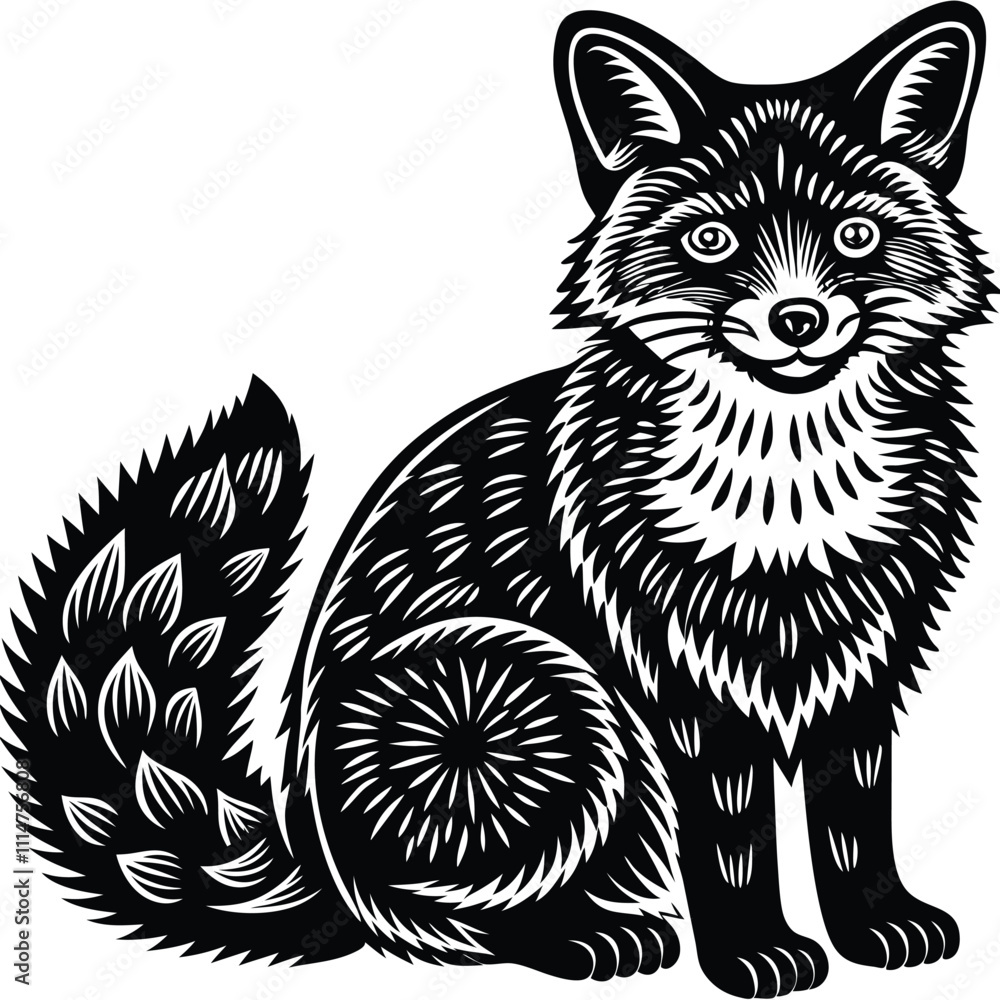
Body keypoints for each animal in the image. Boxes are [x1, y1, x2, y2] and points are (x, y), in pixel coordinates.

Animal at [3, 3, 993, 997]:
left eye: (856, 237)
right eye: (709, 241)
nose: (798, 320)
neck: (786, 475)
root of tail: (315, 861)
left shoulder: (866, 667)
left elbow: (854, 820)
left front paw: (877, 925)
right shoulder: (683, 693)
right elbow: (732, 843)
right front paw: (753, 951)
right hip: (527, 686)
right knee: (465, 914)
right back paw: (592, 937)